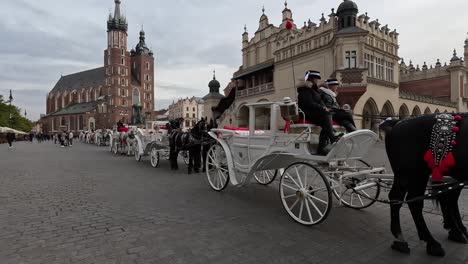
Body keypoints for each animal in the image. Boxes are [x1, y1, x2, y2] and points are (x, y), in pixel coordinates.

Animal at [382, 114, 466, 258]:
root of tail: (398, 122)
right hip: (413, 173)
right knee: (410, 201)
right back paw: (429, 243)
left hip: (412, 174)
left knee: (404, 199)